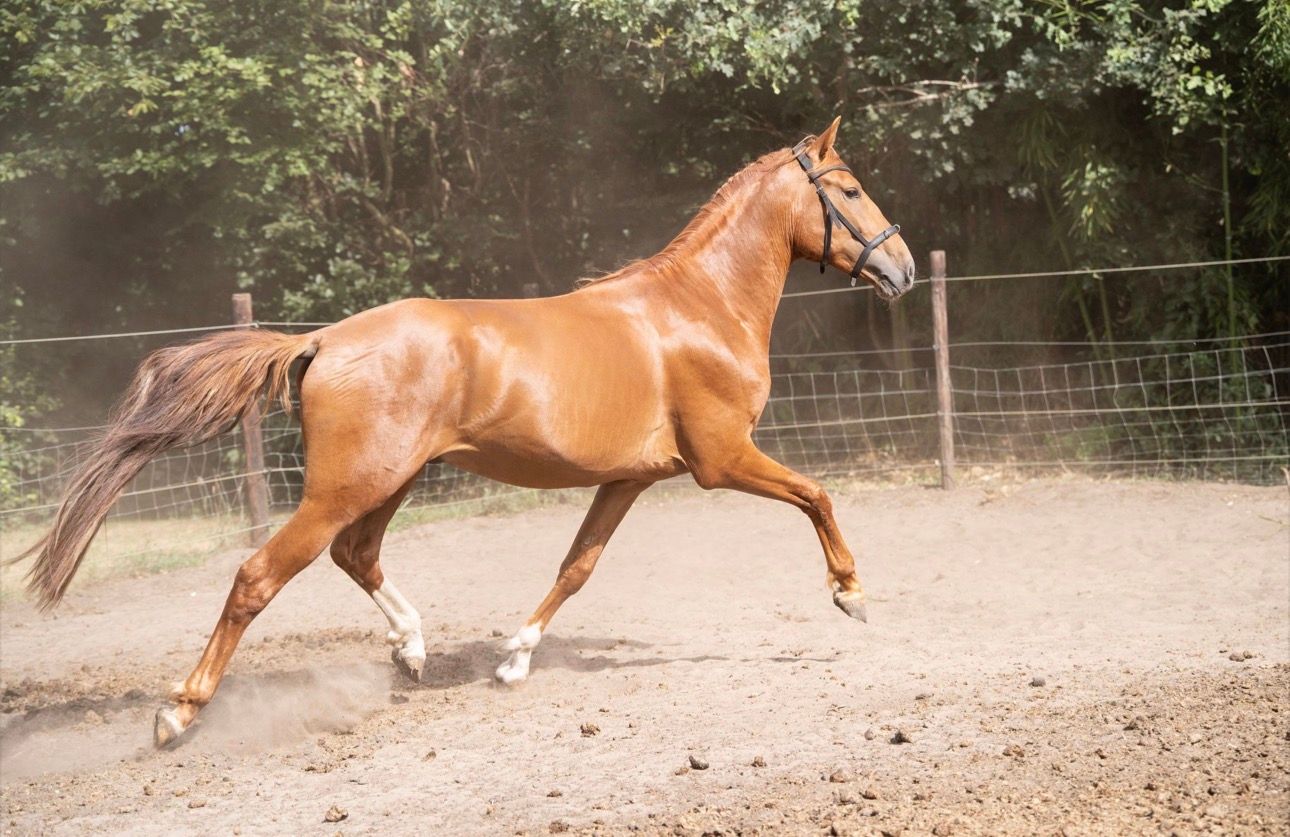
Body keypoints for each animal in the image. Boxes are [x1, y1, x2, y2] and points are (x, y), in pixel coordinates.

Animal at [17, 117, 916, 747]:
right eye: (851, 189)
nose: (902, 269)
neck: (696, 307)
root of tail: (321, 340)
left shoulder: (630, 477)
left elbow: (577, 565)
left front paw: (514, 657)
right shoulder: (722, 460)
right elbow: (817, 494)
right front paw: (851, 594)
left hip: (393, 478)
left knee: (356, 553)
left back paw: (411, 649)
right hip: (350, 484)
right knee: (259, 575)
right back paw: (179, 712)